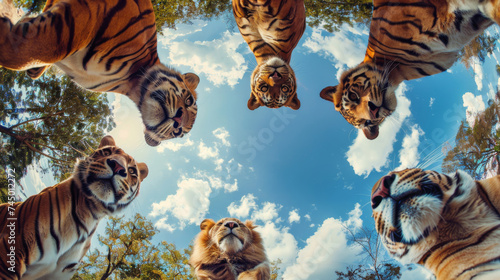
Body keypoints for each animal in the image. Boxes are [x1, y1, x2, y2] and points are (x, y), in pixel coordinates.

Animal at [0, 0, 199, 147]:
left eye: (179, 135)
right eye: (189, 101)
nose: (178, 123)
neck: (130, 85)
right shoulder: (78, 20)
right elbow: (19, 51)